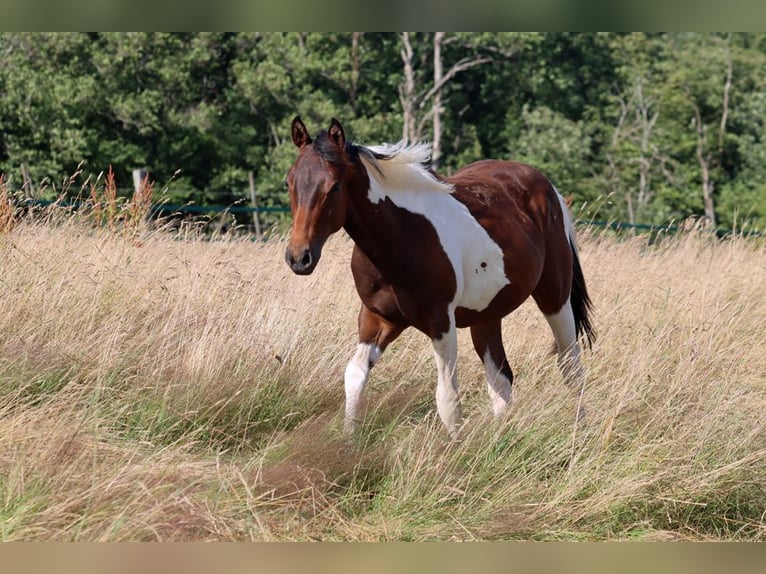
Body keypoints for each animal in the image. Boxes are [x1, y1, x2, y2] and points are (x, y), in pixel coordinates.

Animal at [284, 116, 595, 437]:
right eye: (289, 182)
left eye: (334, 187)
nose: (299, 257)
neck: (402, 237)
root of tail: (547, 187)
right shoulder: (377, 318)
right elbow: (355, 377)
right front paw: (348, 443)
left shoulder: (440, 322)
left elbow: (447, 398)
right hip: (486, 315)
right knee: (500, 378)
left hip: (554, 296)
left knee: (571, 366)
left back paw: (579, 432)